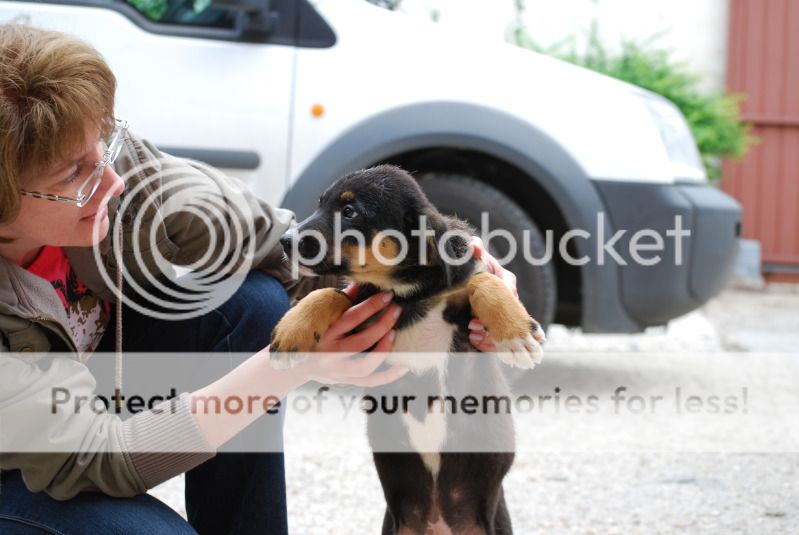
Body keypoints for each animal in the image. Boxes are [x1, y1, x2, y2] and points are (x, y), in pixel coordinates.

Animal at [270, 165, 544, 532]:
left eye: (350, 211)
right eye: (321, 203)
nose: (285, 241)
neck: (407, 292)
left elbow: (482, 281)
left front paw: (517, 334)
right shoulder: (366, 314)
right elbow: (329, 293)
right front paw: (291, 331)